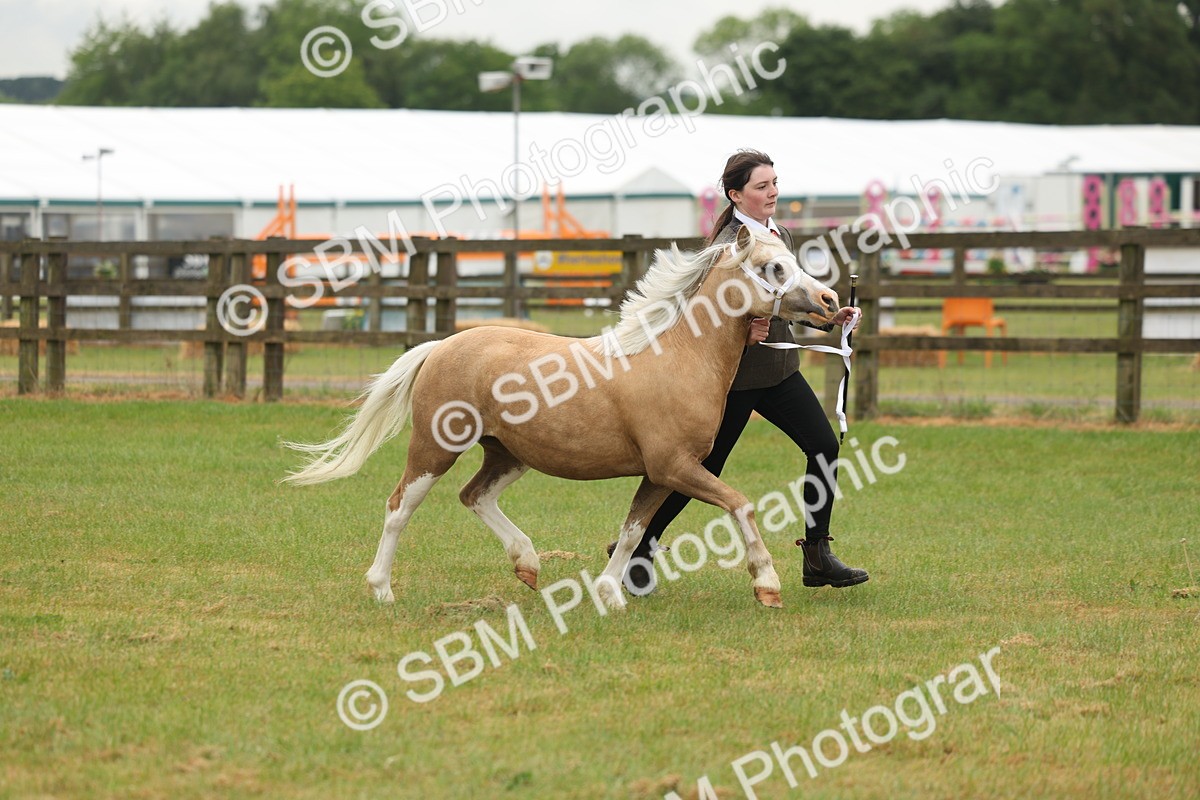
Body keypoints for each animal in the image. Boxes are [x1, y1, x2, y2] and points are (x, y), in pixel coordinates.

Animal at [283, 226, 839, 609]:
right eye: (773, 268)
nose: (831, 300)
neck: (677, 356)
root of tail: (442, 345)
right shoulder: (675, 467)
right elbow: (741, 505)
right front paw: (767, 584)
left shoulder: (661, 475)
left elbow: (634, 529)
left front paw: (609, 594)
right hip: (435, 448)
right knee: (400, 506)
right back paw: (381, 589)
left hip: (506, 454)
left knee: (474, 496)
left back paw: (527, 565)